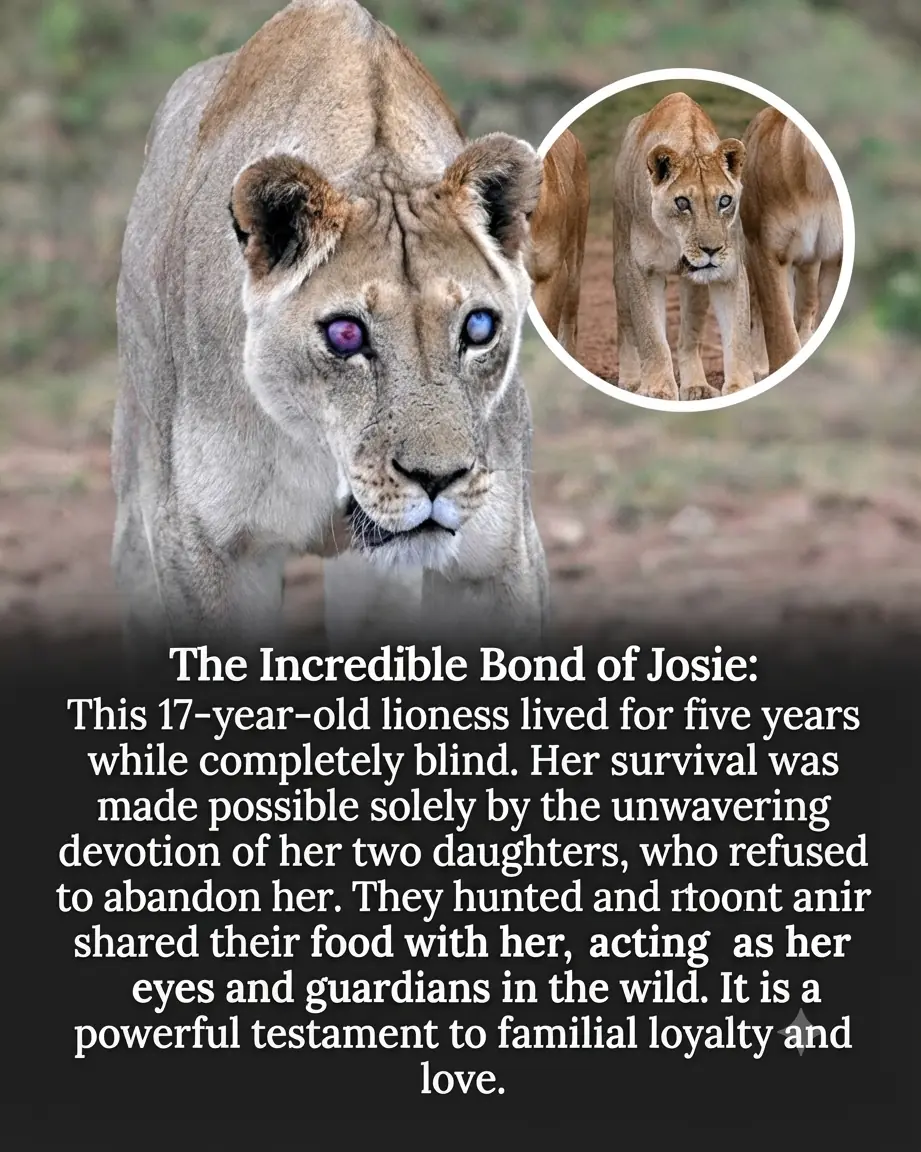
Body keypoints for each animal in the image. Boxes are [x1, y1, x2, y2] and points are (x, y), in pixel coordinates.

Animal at [111, 0, 549, 654]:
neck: (321, 449)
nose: (438, 479)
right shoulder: (201, 545)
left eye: (477, 326)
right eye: (346, 335)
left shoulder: (500, 556)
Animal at [612, 91, 754, 401]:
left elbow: (738, 334)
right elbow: (651, 335)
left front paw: (740, 386)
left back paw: (696, 386)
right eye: (682, 203)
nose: (711, 250)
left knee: (689, 338)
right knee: (626, 325)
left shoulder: (730, 272)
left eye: (724, 201)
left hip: (695, 286)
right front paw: (657, 389)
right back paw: (630, 380)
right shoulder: (641, 269)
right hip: (619, 260)